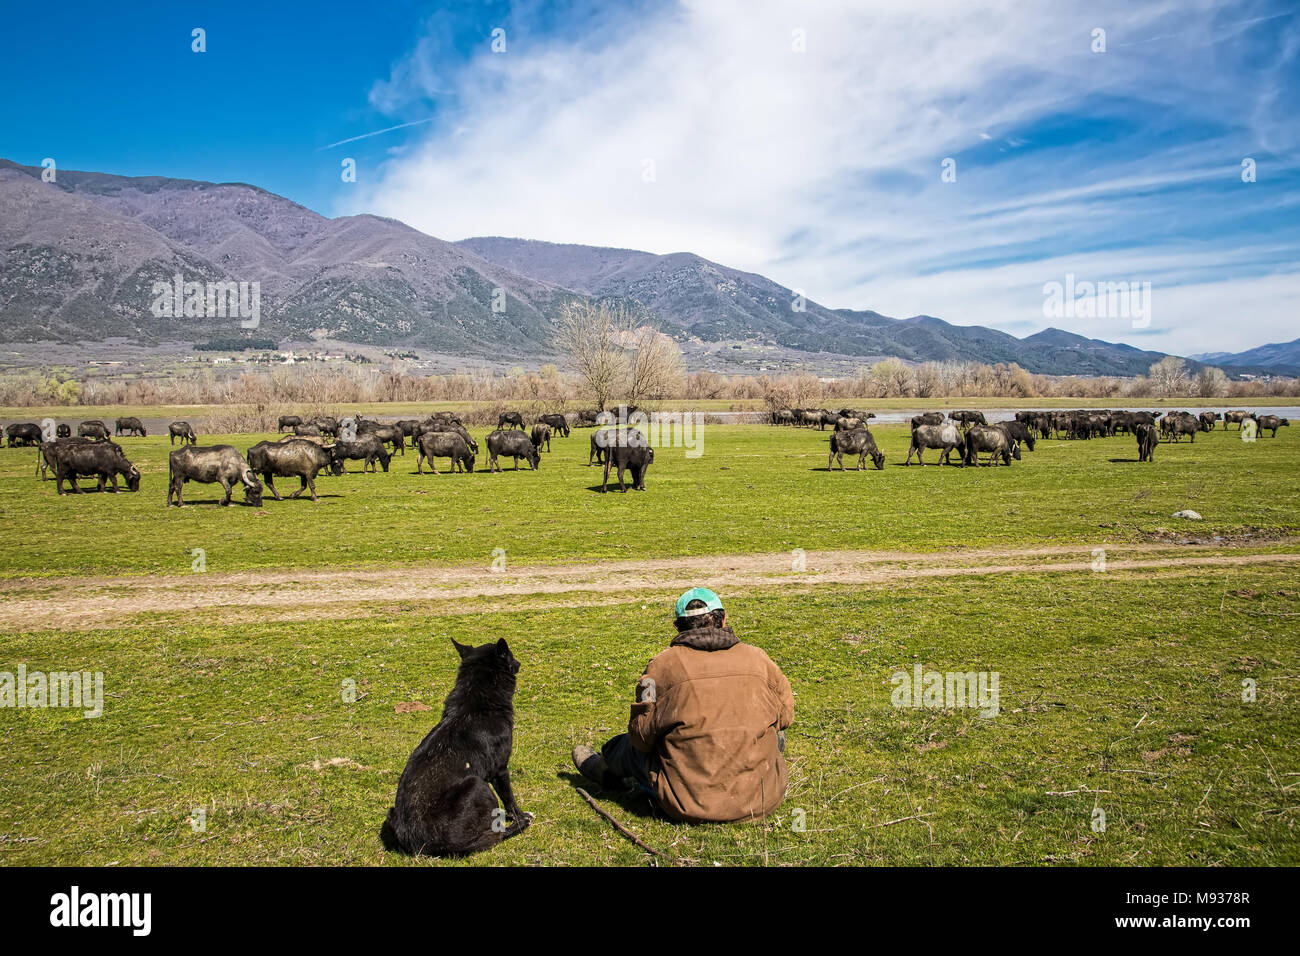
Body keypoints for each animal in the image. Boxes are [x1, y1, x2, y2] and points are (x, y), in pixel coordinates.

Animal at [379, 639, 530, 858]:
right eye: (511, 655)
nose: (519, 663)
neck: (476, 703)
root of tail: (424, 846)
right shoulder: (500, 769)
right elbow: (510, 799)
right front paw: (519, 815)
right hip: (477, 785)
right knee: (495, 835)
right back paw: (519, 825)